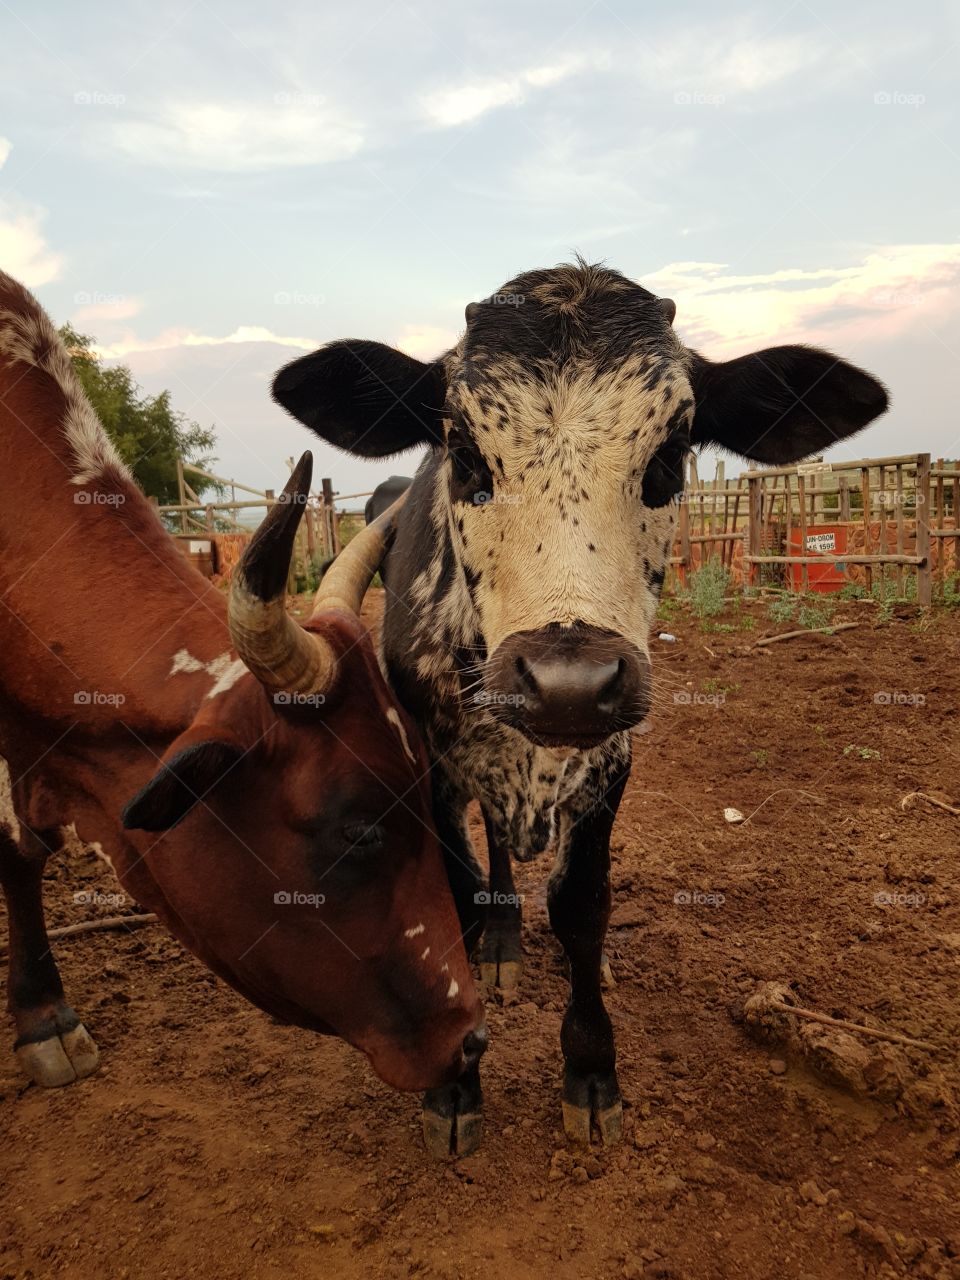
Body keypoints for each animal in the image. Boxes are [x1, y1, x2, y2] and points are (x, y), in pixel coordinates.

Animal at [273, 262, 890, 1162]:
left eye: (670, 452)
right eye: (464, 451)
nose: (567, 682)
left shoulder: (612, 761)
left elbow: (581, 903)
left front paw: (592, 1070)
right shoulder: (426, 758)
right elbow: (455, 893)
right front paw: (454, 1082)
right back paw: (499, 943)